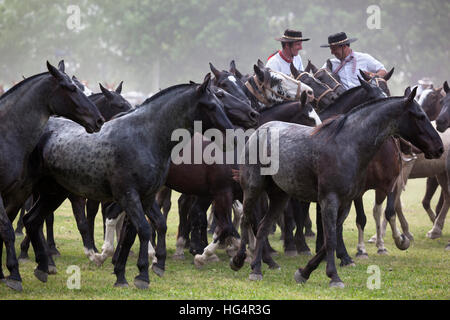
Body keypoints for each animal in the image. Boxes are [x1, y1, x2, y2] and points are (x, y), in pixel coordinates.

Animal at [19, 74, 234, 288]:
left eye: (221, 104)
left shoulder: (145, 197)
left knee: (32, 220)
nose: (232, 136)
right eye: (211, 106)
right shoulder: (128, 196)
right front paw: (143, 274)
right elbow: (144, 229)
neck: (144, 138)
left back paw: (42, 267)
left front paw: (130, 273)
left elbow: (144, 230)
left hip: (54, 193)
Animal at [230, 87, 442, 288]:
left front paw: (304, 272)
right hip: (253, 189)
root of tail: (258, 131)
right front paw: (334, 277)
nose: (439, 148)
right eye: (420, 116)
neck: (347, 146)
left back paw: (257, 269)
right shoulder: (329, 200)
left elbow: (328, 239)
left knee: (263, 227)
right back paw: (239, 261)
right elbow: (331, 238)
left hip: (280, 196)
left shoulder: (345, 202)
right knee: (247, 220)